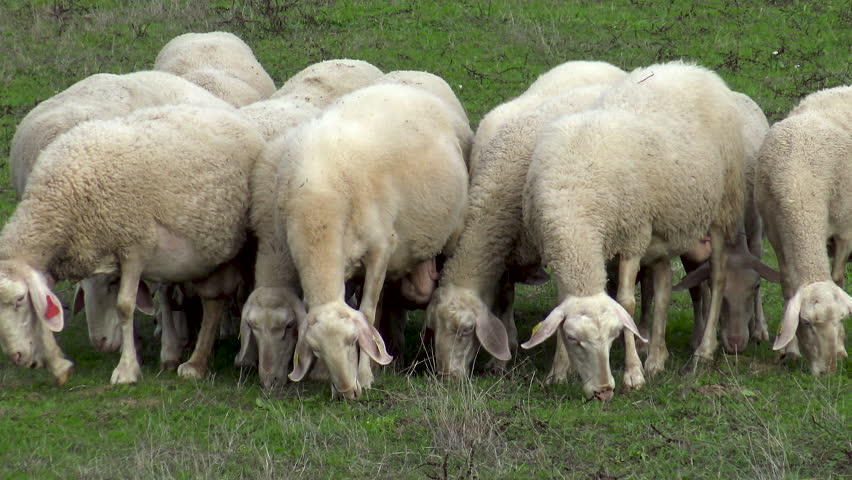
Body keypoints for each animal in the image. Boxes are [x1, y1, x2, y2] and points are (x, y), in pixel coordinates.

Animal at [0, 104, 265, 385]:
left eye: (19, 299)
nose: (16, 356)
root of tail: (228, 112)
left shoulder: (134, 246)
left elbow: (125, 307)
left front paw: (126, 369)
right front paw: (57, 364)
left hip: (244, 245)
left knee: (235, 297)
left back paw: (231, 360)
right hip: (209, 254)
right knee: (213, 301)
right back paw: (196, 363)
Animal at [283, 84, 470, 399]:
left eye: (351, 341)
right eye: (317, 352)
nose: (347, 392)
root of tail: (409, 88)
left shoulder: (381, 250)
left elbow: (367, 314)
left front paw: (365, 376)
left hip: (452, 235)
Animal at [426, 78, 624, 380]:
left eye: (467, 330)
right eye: (434, 328)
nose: (447, 377)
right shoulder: (504, 251)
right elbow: (504, 299)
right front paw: (502, 357)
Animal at [521, 61, 746, 400]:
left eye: (614, 334)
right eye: (574, 339)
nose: (603, 391)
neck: (575, 208)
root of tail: (693, 68)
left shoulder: (631, 238)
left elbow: (627, 303)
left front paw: (633, 375)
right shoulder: (556, 250)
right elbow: (558, 308)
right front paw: (558, 372)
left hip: (722, 208)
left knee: (718, 277)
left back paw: (703, 351)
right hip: (663, 226)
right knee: (664, 287)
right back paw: (656, 356)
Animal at [755, 85, 851, 375]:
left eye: (841, 319)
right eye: (806, 323)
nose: (828, 371)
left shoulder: (844, 232)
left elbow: (838, 278)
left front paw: (841, 348)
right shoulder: (777, 235)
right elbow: (787, 285)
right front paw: (789, 351)